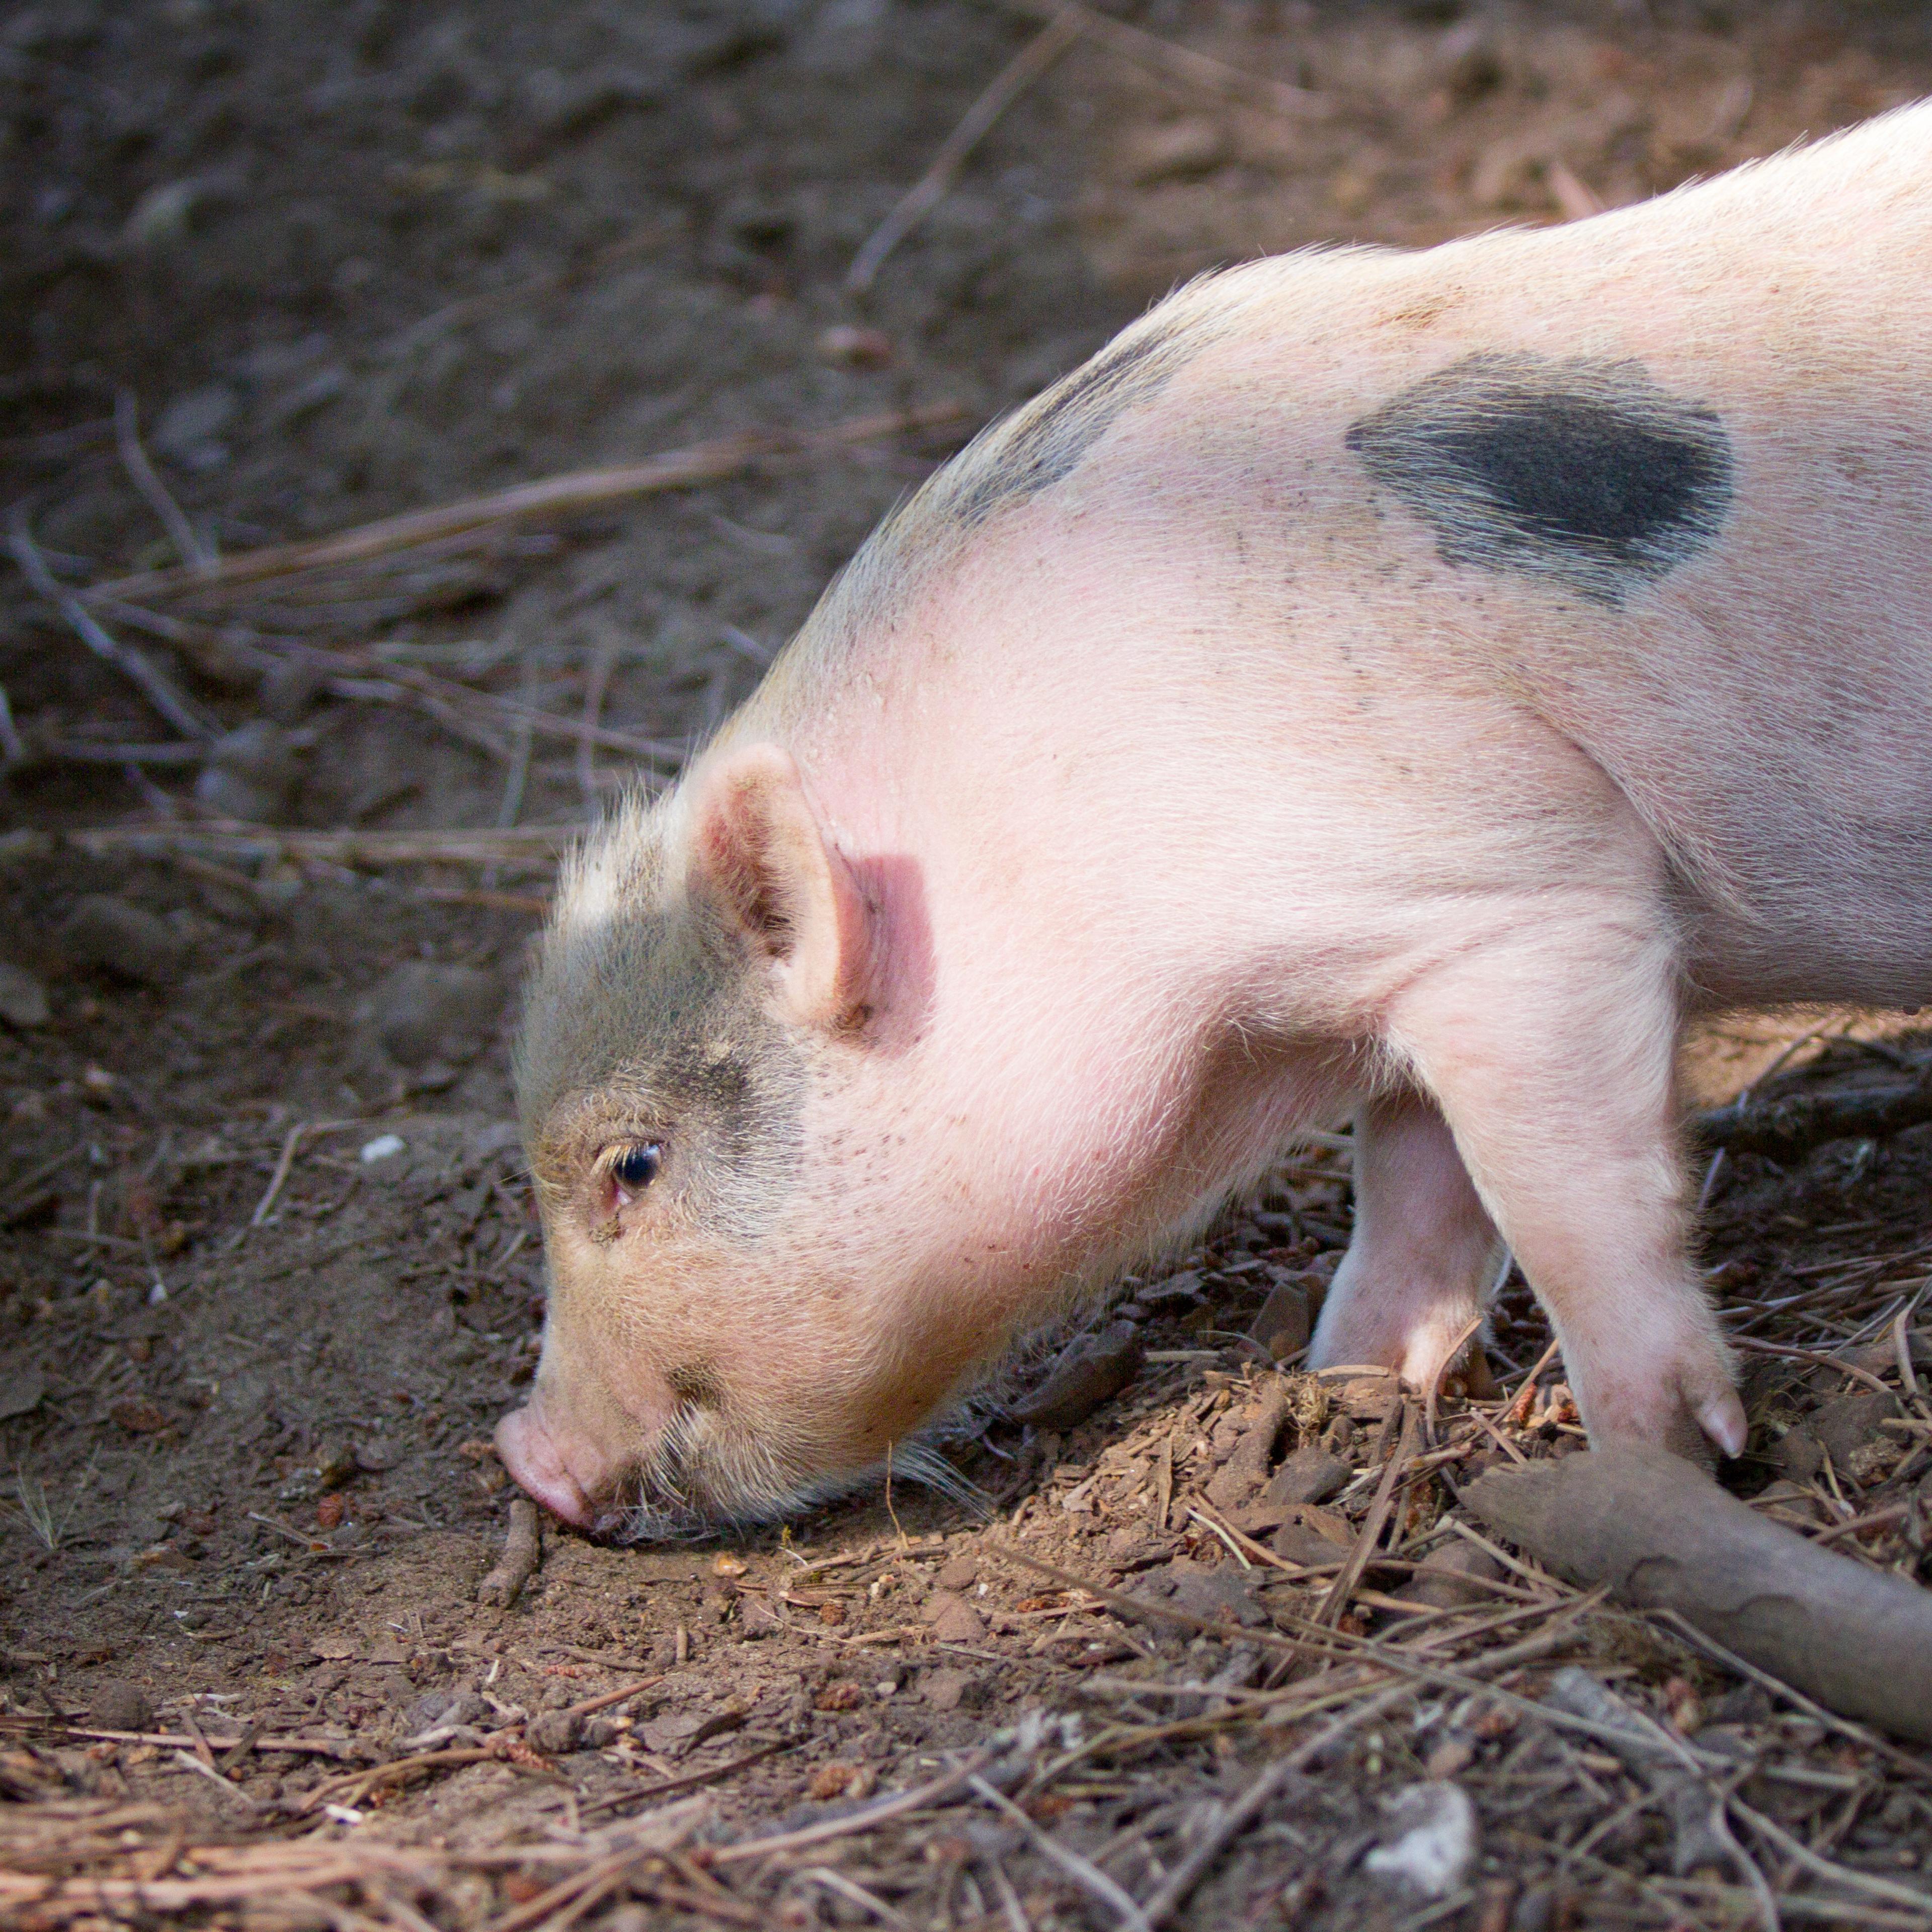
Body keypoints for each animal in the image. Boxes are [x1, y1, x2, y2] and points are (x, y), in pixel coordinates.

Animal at [499, 105, 1932, 1537]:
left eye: (634, 1162)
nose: (528, 1456)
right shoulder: (1408, 957)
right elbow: (1410, 1180)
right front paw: (1350, 1388)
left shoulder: (1520, 895)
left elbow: (1568, 1196)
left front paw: (1651, 1468)